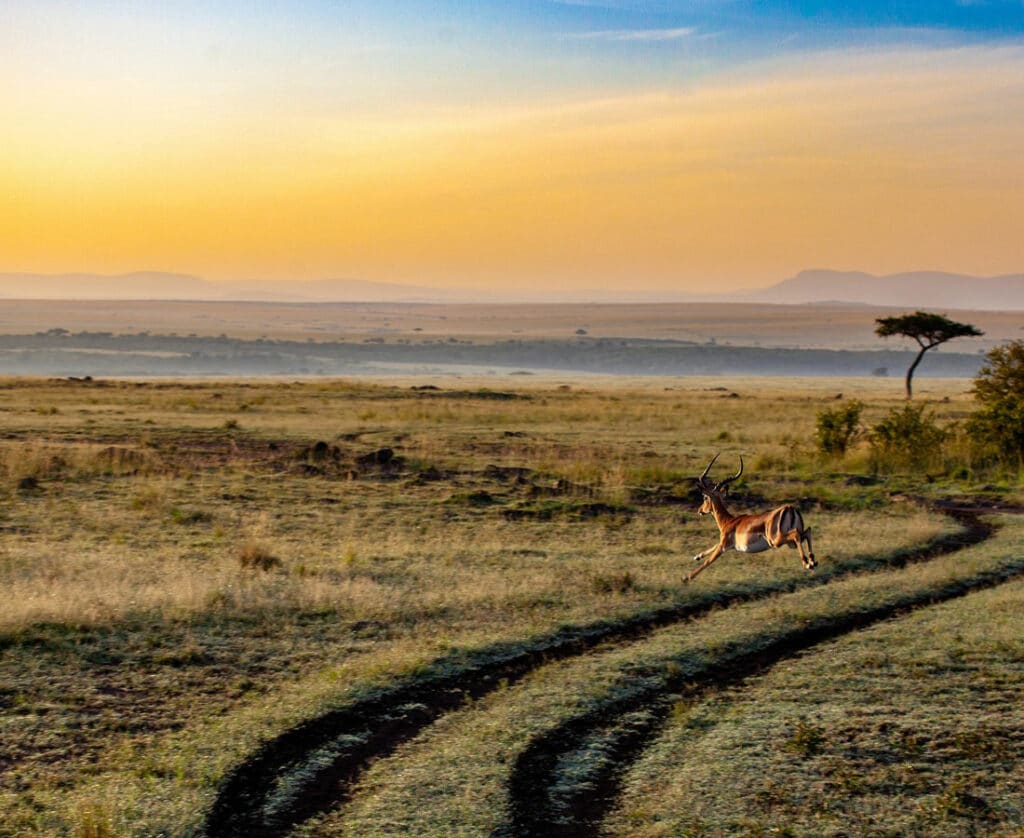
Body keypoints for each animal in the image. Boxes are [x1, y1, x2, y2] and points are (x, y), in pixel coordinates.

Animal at [688, 450, 815, 581]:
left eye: (705, 497)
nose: (699, 510)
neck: (728, 522)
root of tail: (790, 508)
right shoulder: (727, 545)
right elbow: (713, 546)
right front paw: (697, 556)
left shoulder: (723, 546)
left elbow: (707, 561)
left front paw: (687, 577)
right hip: (790, 542)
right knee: (807, 532)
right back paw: (812, 562)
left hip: (776, 541)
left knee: (797, 534)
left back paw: (807, 563)